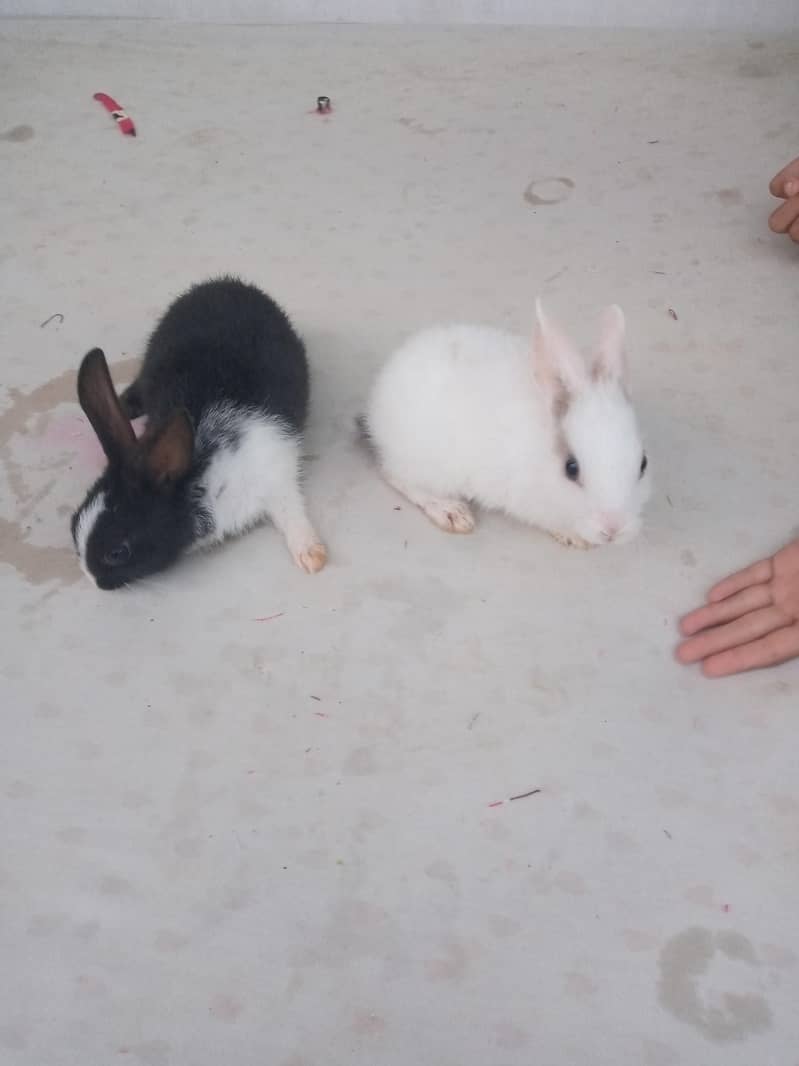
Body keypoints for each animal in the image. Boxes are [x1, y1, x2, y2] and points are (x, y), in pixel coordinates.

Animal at [71, 276, 327, 590]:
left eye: (118, 552)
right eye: (74, 521)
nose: (93, 580)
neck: (202, 477)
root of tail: (226, 282)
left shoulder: (276, 477)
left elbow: (292, 514)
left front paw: (312, 556)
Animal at [359, 300, 650, 548]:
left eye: (643, 464)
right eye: (571, 468)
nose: (614, 529)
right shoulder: (529, 501)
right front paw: (574, 537)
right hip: (428, 466)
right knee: (398, 478)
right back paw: (451, 512)